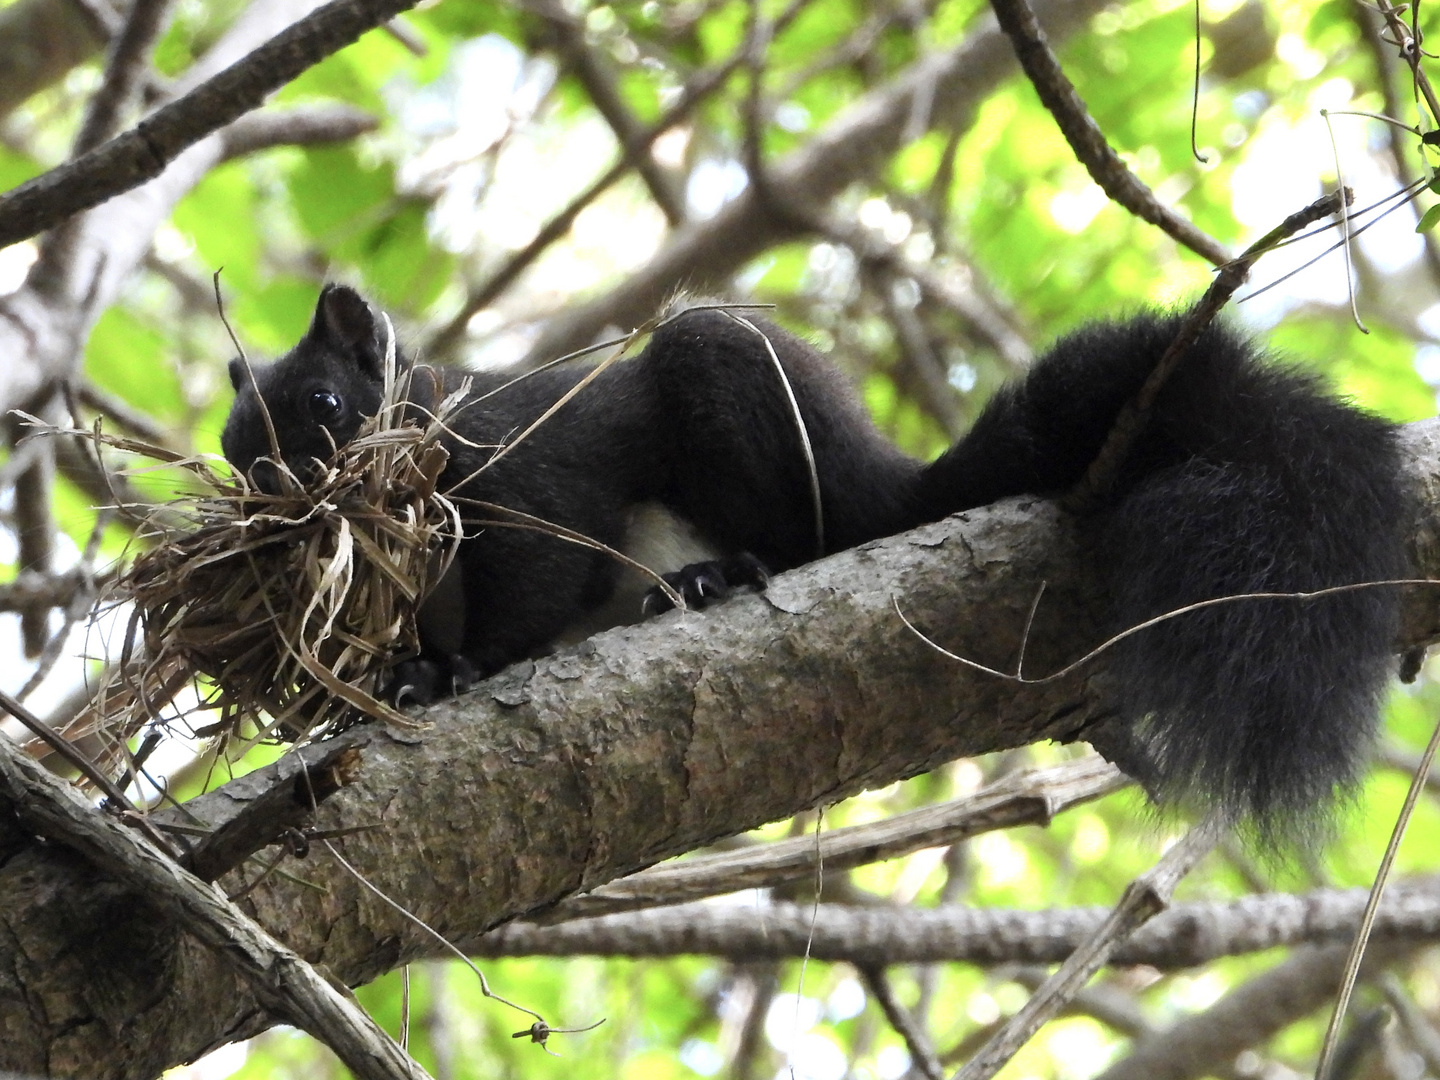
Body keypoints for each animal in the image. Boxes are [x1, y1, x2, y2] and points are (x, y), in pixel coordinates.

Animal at [221, 283, 1405, 835]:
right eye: (233, 448)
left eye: (324, 404)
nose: (273, 495)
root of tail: (887, 482)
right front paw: (396, 676)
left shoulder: (529, 478)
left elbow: (533, 588)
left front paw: (463, 673)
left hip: (736, 398)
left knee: (807, 537)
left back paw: (722, 575)